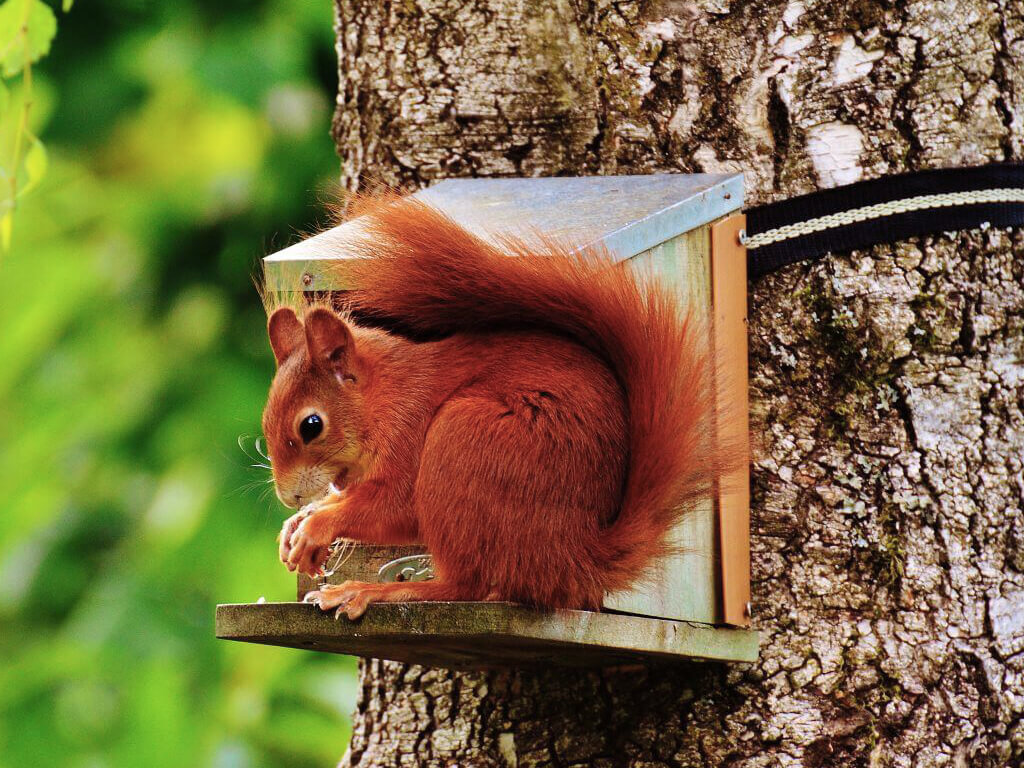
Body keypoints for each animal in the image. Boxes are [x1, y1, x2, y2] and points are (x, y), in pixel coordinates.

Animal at [266, 195, 729, 622]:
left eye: (311, 425)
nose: (288, 498)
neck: (385, 399)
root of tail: (575, 559)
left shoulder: (409, 431)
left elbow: (395, 508)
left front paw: (316, 526)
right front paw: (299, 522)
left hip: (463, 438)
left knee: (464, 585)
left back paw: (369, 591)